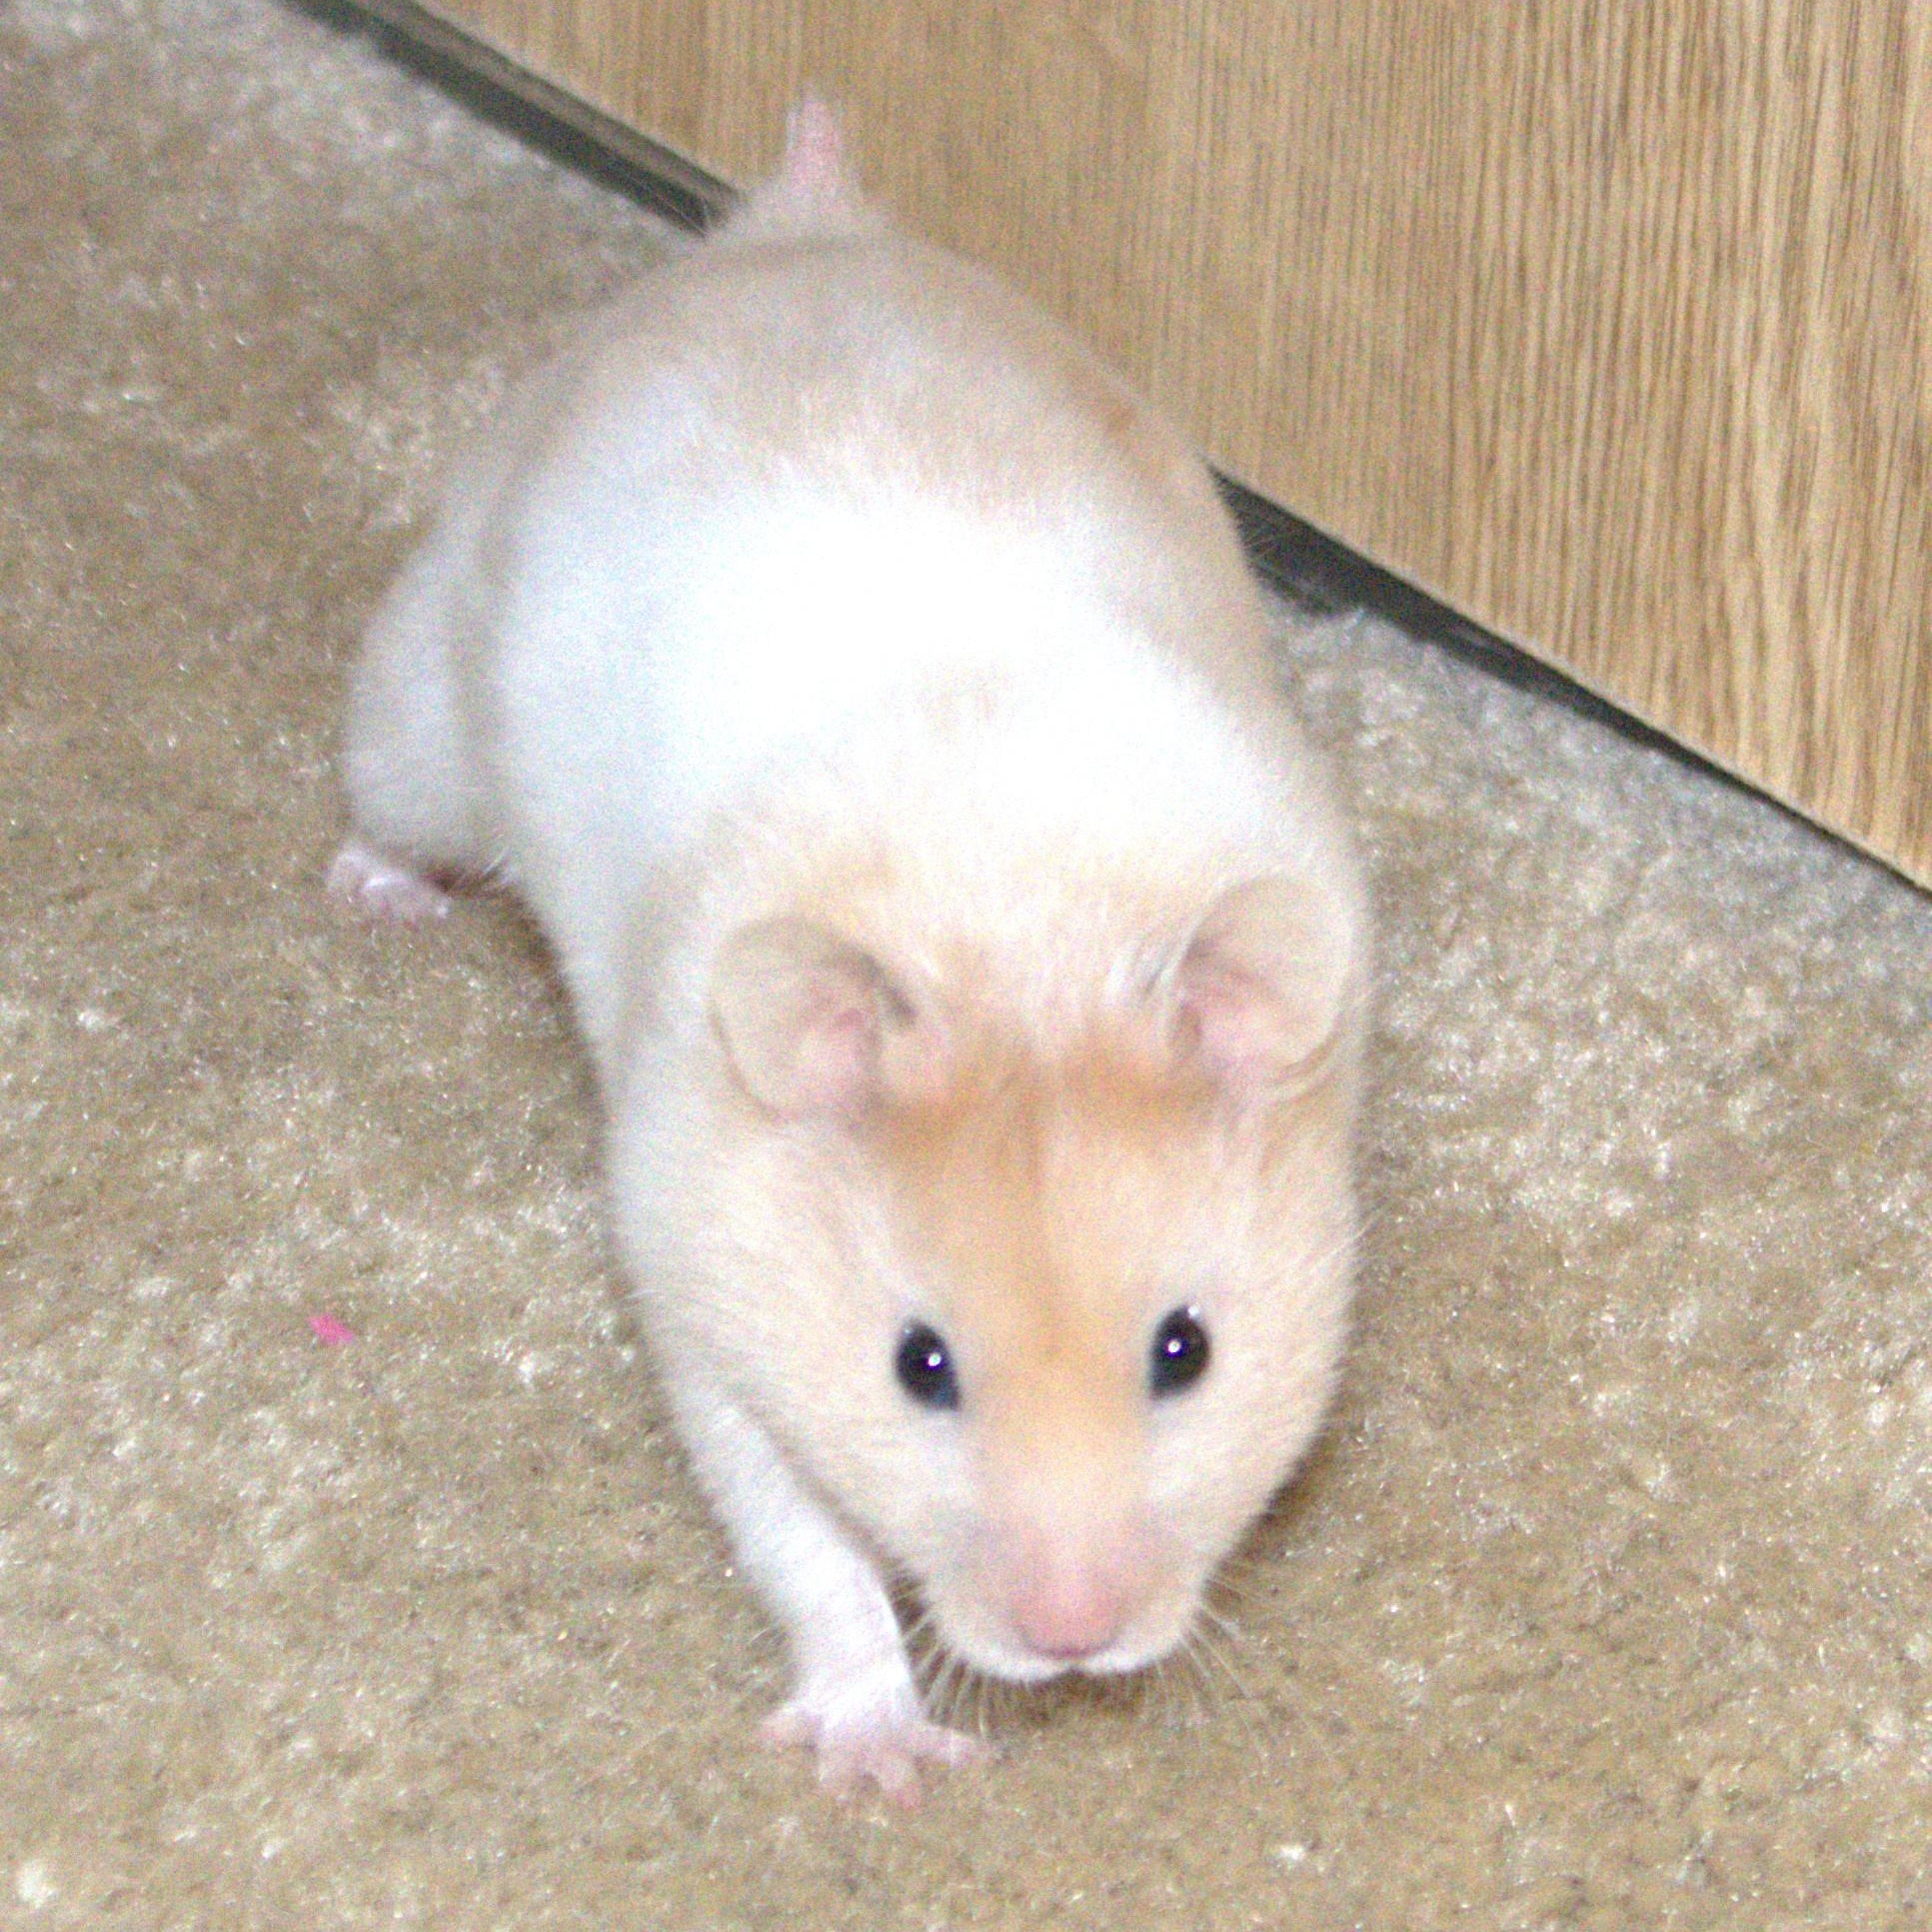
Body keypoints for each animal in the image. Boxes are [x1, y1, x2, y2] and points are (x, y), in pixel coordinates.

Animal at [332, 101, 1367, 1802]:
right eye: (917, 1367)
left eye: (1187, 1350)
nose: (1074, 1642)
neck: (1018, 927)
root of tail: (791, 231)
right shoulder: (700, 1304)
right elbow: (800, 1544)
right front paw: (885, 1765)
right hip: (421, 708)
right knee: (387, 798)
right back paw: (374, 896)